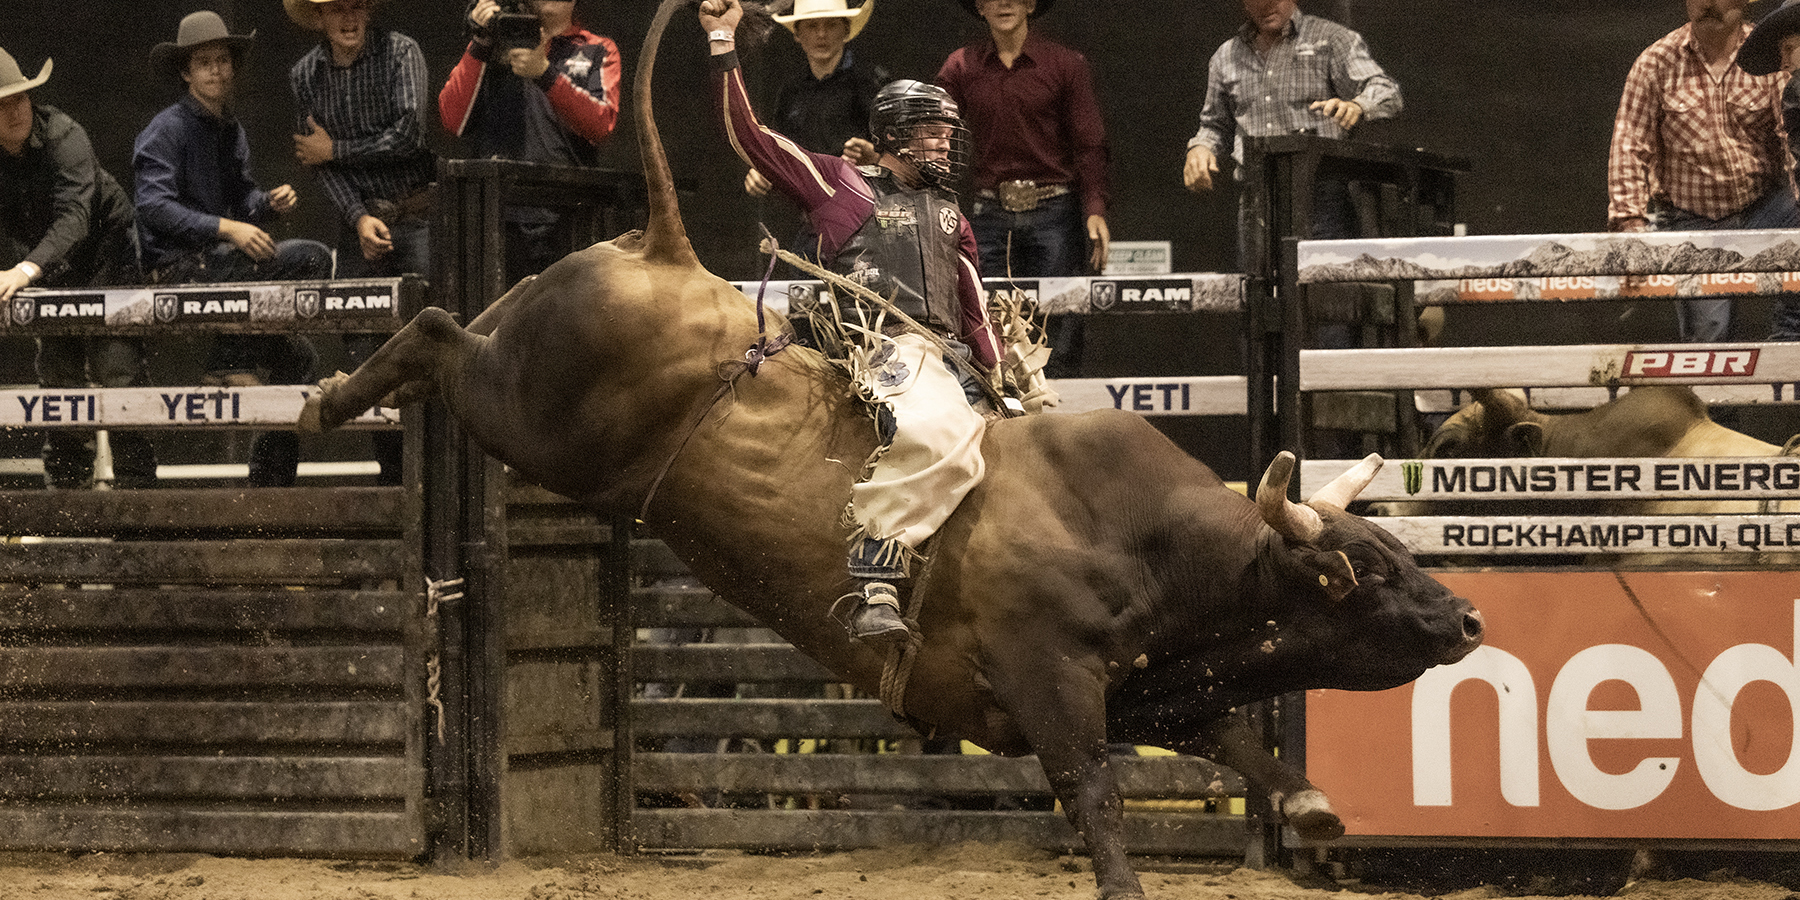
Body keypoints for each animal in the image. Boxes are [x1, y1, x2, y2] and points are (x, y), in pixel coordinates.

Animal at [302, 3, 1483, 896]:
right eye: (1367, 568)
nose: (1468, 618)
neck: (1145, 544)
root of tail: (666, 249)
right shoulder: (1050, 682)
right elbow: (1097, 798)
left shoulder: (1158, 685)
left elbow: (1241, 745)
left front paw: (1313, 806)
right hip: (532, 417)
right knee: (435, 331)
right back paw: (328, 398)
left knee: (451, 324)